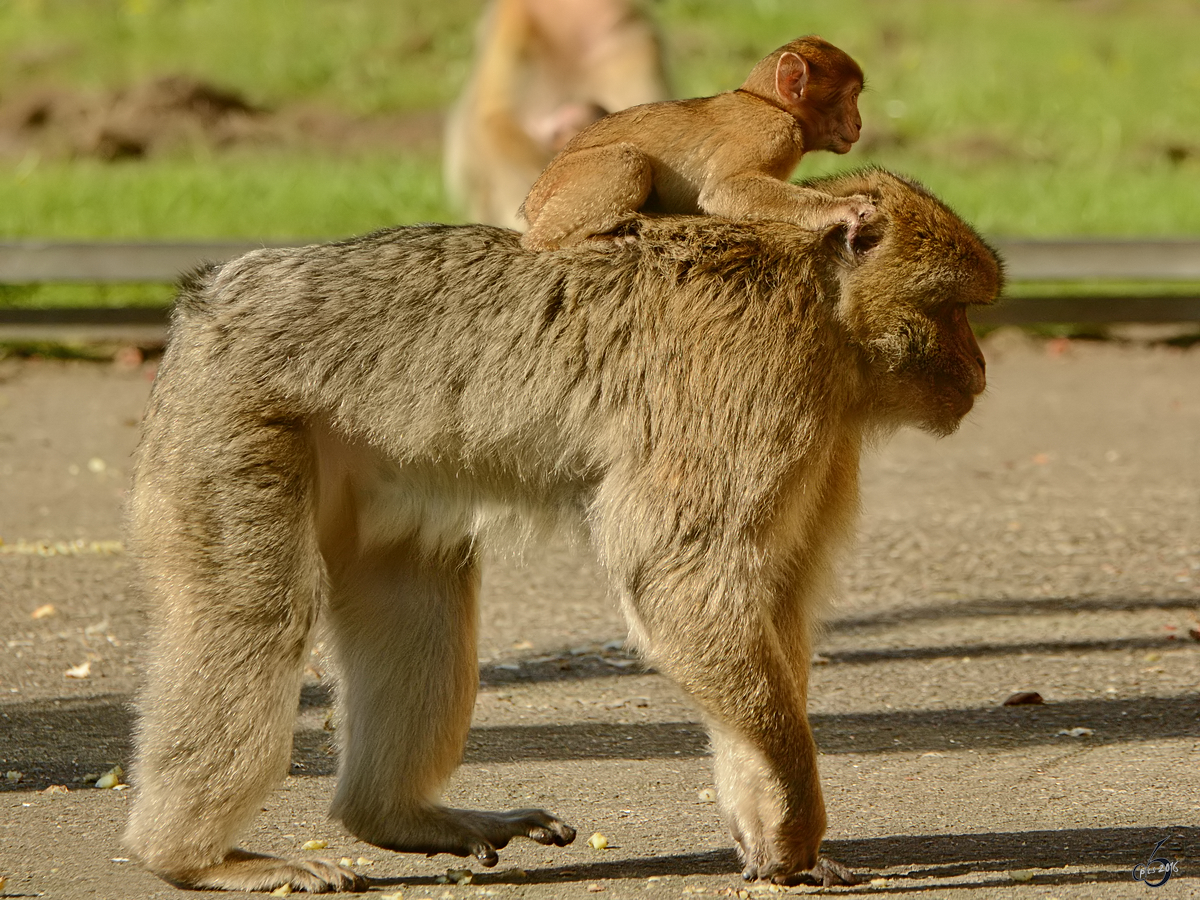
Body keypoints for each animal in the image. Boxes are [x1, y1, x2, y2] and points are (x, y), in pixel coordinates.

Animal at [523, 36, 873, 250]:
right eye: (851, 96)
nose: (859, 123)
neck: (768, 103)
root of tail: (531, 205)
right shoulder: (773, 133)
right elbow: (724, 191)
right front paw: (841, 208)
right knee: (627, 160)